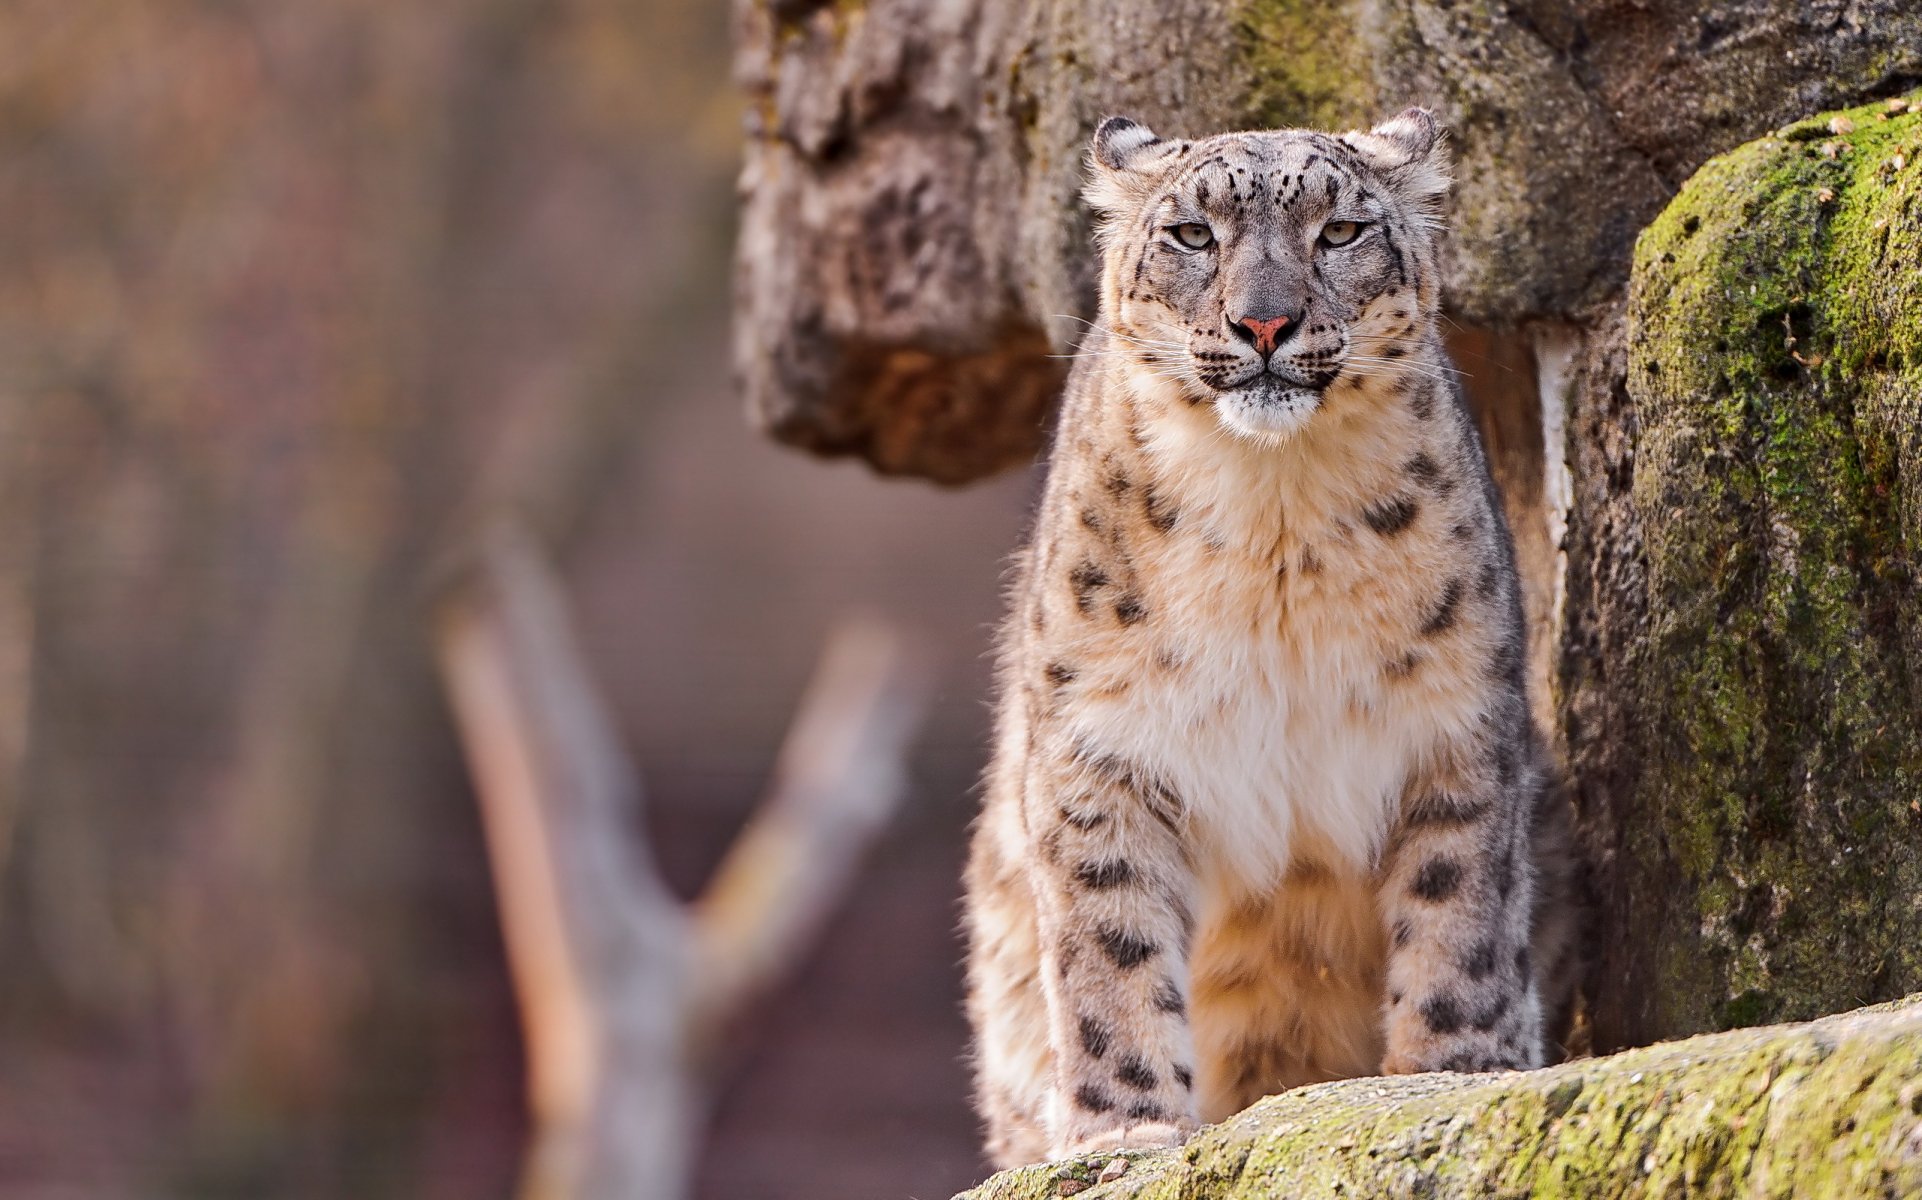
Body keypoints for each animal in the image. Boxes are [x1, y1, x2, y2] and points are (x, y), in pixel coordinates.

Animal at [962, 108, 1578, 1167]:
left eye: (1340, 231)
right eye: (1191, 235)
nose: (1264, 324)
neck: (1273, 521)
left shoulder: (1455, 726)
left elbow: (1459, 906)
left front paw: (1457, 1071)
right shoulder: (1099, 749)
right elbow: (1108, 946)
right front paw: (1124, 1129)